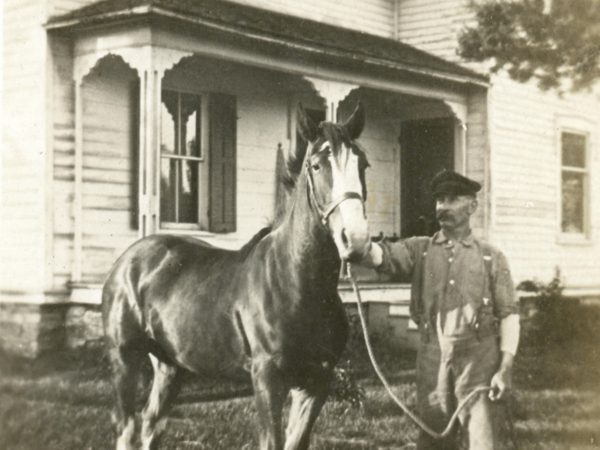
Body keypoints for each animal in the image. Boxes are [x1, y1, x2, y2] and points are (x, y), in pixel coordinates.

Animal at [103, 103, 372, 450]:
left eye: (363, 164)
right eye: (316, 165)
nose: (357, 239)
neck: (298, 282)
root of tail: (128, 261)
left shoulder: (316, 382)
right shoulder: (267, 379)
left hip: (170, 366)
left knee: (151, 424)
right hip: (125, 357)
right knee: (127, 427)